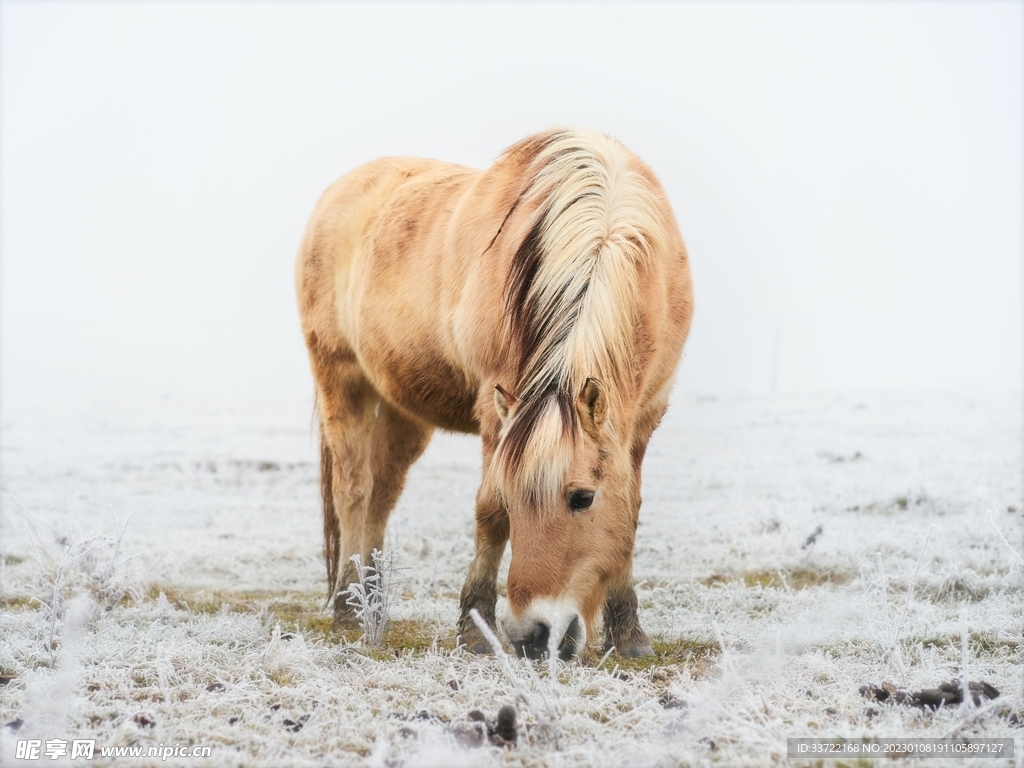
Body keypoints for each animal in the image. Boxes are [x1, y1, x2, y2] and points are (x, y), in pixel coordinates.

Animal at [295, 127, 693, 659]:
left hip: (403, 410)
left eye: (583, 498)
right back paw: (348, 610)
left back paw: (371, 605)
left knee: (381, 493)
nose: (533, 635)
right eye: (512, 495)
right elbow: (489, 514)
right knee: (353, 492)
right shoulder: (494, 403)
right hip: (342, 380)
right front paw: (474, 629)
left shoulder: (646, 414)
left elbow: (629, 510)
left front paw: (629, 635)